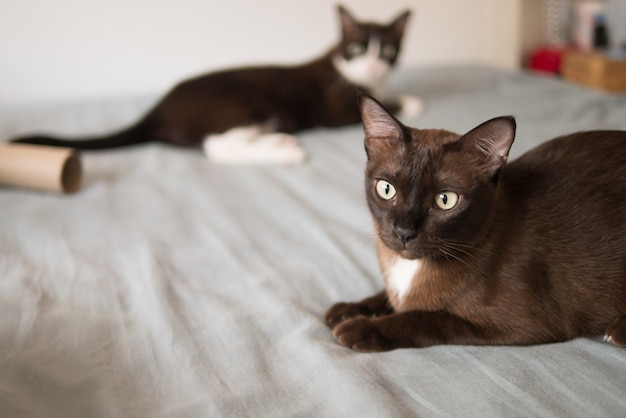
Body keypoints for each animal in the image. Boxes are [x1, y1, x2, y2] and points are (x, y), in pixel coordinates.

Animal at [8, 5, 420, 165]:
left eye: (386, 51)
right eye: (357, 49)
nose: (372, 65)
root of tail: (158, 107)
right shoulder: (334, 106)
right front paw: (410, 101)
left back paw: (278, 141)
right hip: (241, 103)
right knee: (217, 146)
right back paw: (284, 150)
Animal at [324, 94, 624, 350]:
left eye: (445, 200)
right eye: (386, 189)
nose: (404, 232)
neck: (410, 269)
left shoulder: (523, 325)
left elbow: (426, 317)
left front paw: (359, 328)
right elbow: (384, 297)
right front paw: (346, 310)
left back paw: (617, 332)